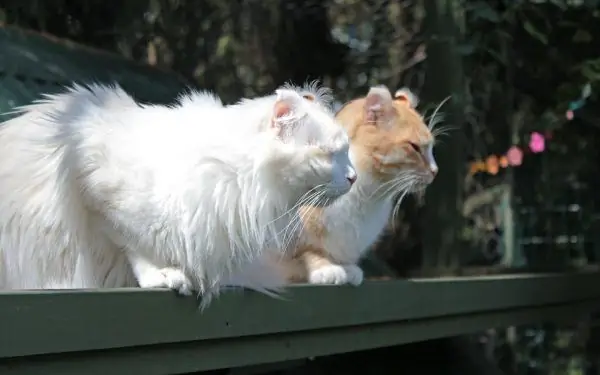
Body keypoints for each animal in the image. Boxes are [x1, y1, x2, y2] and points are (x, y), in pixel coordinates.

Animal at [0, 81, 356, 306]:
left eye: (346, 152)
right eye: (330, 155)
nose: (353, 177)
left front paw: (341, 272)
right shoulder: (90, 181)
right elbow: (133, 244)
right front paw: (164, 274)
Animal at [227, 86, 438, 290]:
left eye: (431, 147)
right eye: (414, 147)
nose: (435, 171)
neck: (368, 196)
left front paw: (347, 269)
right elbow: (305, 253)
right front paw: (326, 269)